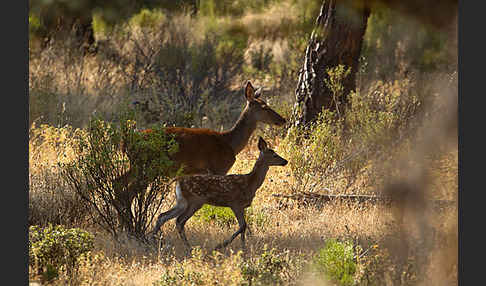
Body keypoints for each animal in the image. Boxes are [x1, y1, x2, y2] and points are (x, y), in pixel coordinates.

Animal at [152, 137, 286, 250]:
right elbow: (243, 226)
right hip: (195, 201)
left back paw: (155, 241)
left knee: (163, 216)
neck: (250, 183)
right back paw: (188, 248)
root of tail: (178, 181)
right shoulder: (235, 203)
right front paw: (220, 246)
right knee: (179, 221)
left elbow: (243, 227)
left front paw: (244, 248)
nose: (285, 161)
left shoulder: (242, 206)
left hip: (182, 202)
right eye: (274, 155)